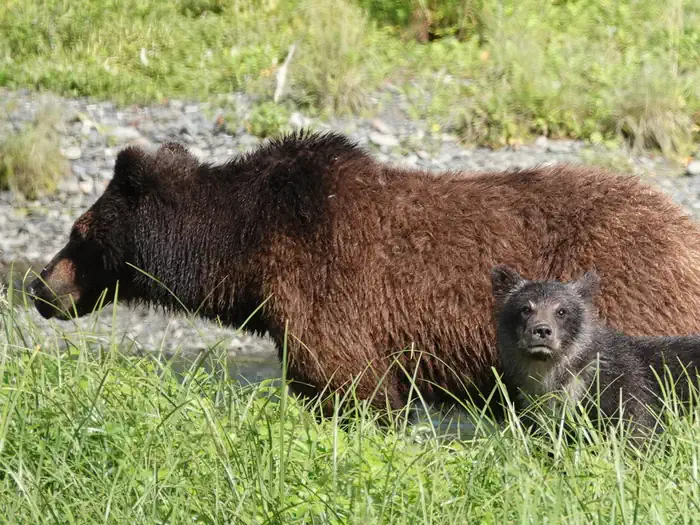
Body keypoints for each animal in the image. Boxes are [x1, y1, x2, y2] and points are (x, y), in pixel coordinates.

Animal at [26, 129, 700, 419]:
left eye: (78, 232)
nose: (39, 286)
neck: (249, 250)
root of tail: (682, 226)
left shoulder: (332, 295)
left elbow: (351, 387)